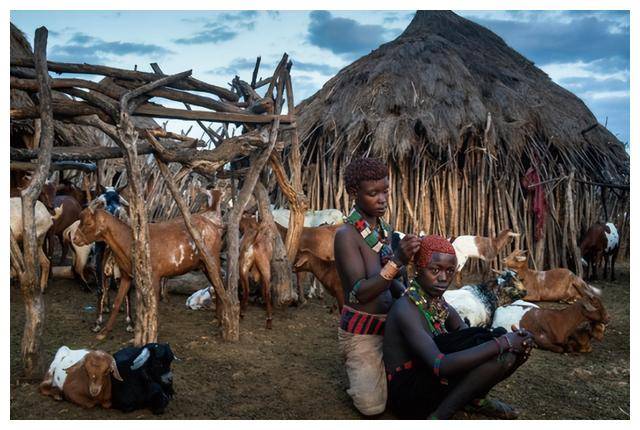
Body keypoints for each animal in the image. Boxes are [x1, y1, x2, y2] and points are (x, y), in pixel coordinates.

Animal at [74, 208, 225, 340]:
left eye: (89, 223)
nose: (75, 238)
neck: (128, 242)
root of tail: (214, 227)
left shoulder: (154, 275)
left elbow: (153, 306)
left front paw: (152, 334)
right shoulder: (126, 275)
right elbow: (117, 302)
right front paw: (104, 332)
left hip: (213, 259)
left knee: (220, 286)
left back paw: (221, 322)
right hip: (204, 265)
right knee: (217, 286)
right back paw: (217, 319)